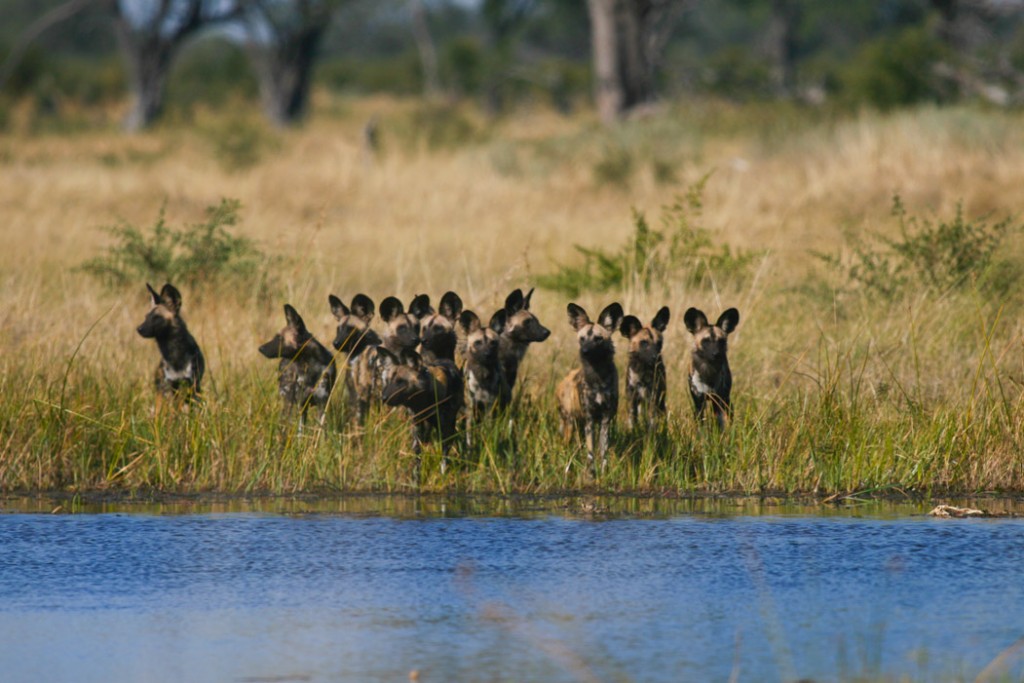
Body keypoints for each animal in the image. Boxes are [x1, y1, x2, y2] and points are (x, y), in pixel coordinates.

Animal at [458, 307, 509, 446]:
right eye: (478, 343)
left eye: (493, 343)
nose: (487, 354)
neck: (483, 376)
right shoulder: (470, 408)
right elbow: (469, 436)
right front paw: (470, 448)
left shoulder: (489, 407)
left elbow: (488, 432)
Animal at [561, 303, 622, 475]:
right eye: (582, 339)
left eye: (598, 339)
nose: (585, 351)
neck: (598, 379)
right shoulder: (589, 419)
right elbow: (590, 452)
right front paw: (591, 475)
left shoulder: (605, 420)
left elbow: (603, 452)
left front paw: (603, 473)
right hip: (570, 423)